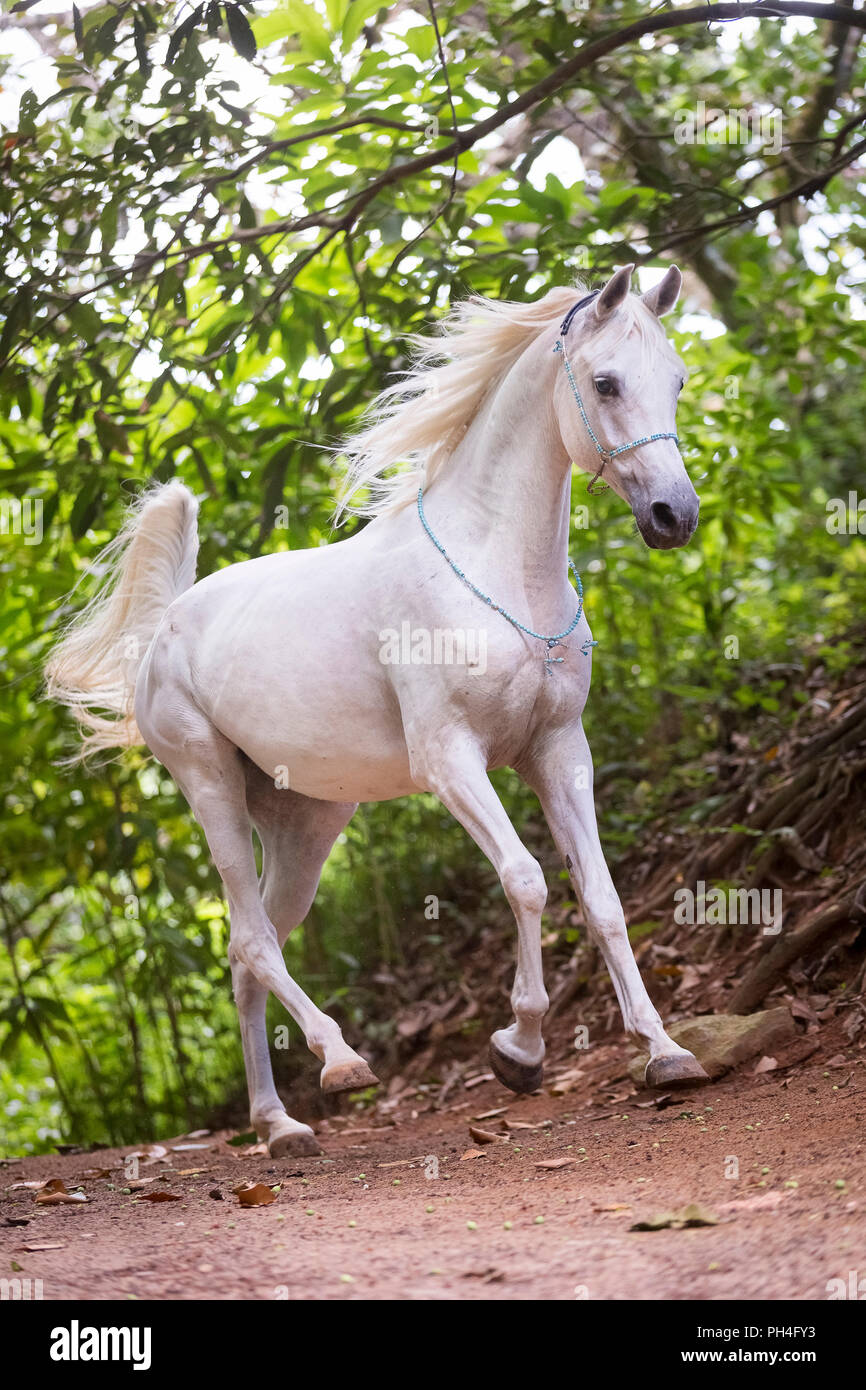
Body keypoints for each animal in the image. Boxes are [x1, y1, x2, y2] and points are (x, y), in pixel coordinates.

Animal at [45, 265, 706, 1156]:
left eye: (675, 380)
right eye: (605, 383)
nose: (676, 517)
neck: (495, 571)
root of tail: (165, 628)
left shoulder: (560, 751)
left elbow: (601, 899)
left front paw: (664, 1053)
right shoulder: (452, 758)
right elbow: (527, 882)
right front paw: (519, 1050)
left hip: (307, 824)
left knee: (247, 953)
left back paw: (279, 1124)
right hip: (209, 785)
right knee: (251, 939)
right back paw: (341, 1064)